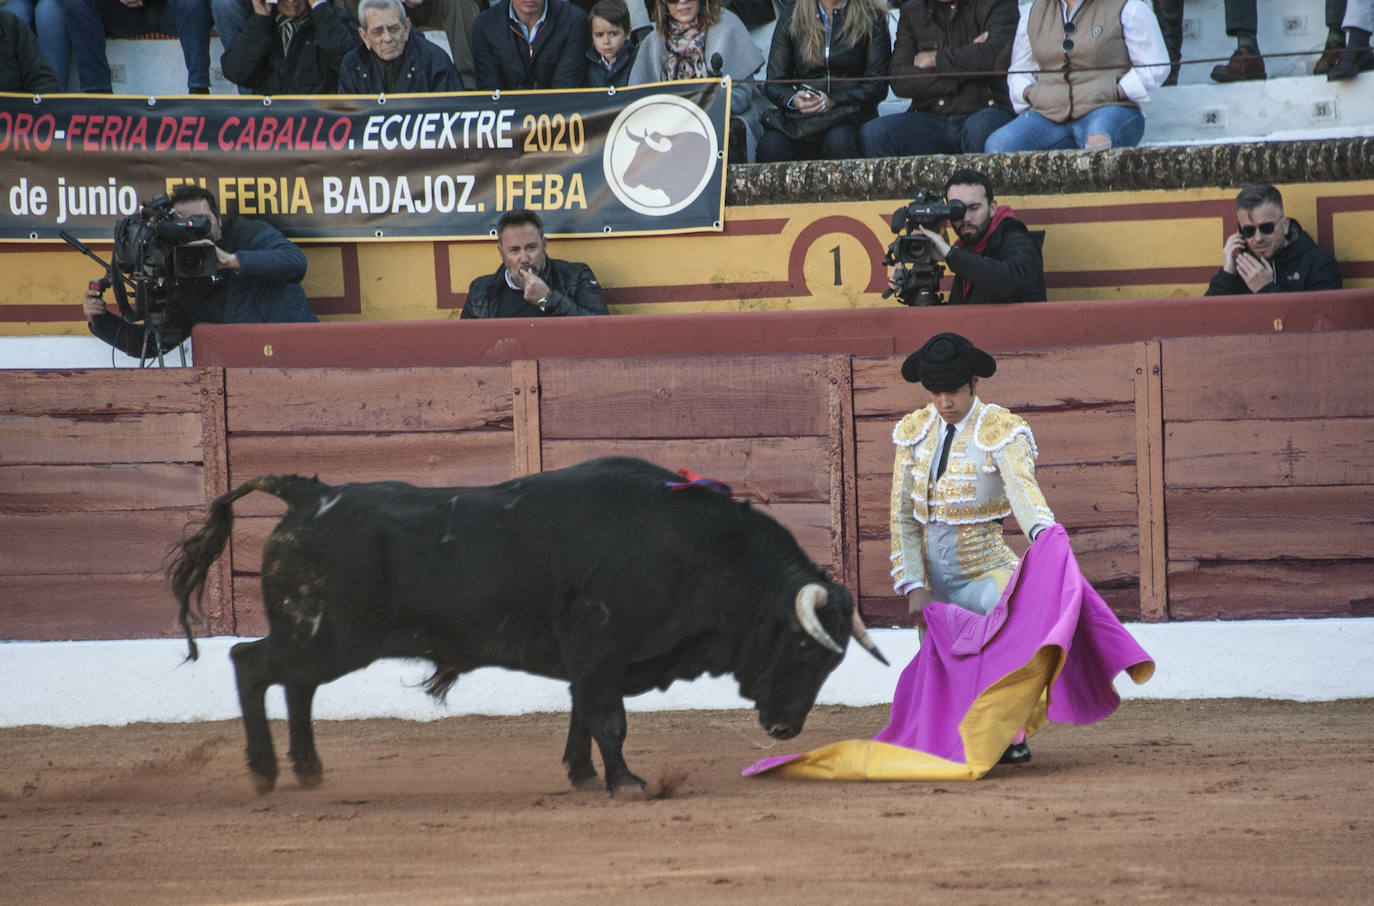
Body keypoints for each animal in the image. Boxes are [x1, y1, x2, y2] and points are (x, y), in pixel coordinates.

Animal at [171, 461, 884, 791]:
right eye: (806, 649)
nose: (786, 730)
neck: (692, 550)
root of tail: (309, 494)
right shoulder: (600, 644)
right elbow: (607, 717)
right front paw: (627, 782)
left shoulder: (595, 660)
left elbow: (583, 713)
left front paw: (583, 775)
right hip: (324, 636)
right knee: (250, 664)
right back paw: (266, 771)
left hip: (319, 639)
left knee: (294, 685)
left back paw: (308, 768)